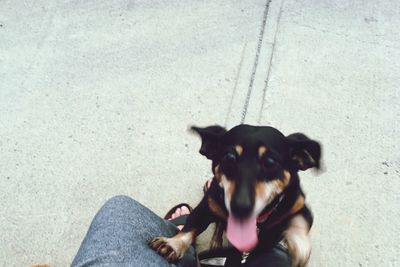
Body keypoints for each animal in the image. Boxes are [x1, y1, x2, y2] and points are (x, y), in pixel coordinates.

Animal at [150, 124, 322, 266]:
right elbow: (191, 226)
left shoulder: (299, 205)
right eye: (229, 158)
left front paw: (300, 249)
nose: (240, 207)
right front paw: (173, 245)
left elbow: (300, 224)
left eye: (270, 162)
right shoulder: (206, 207)